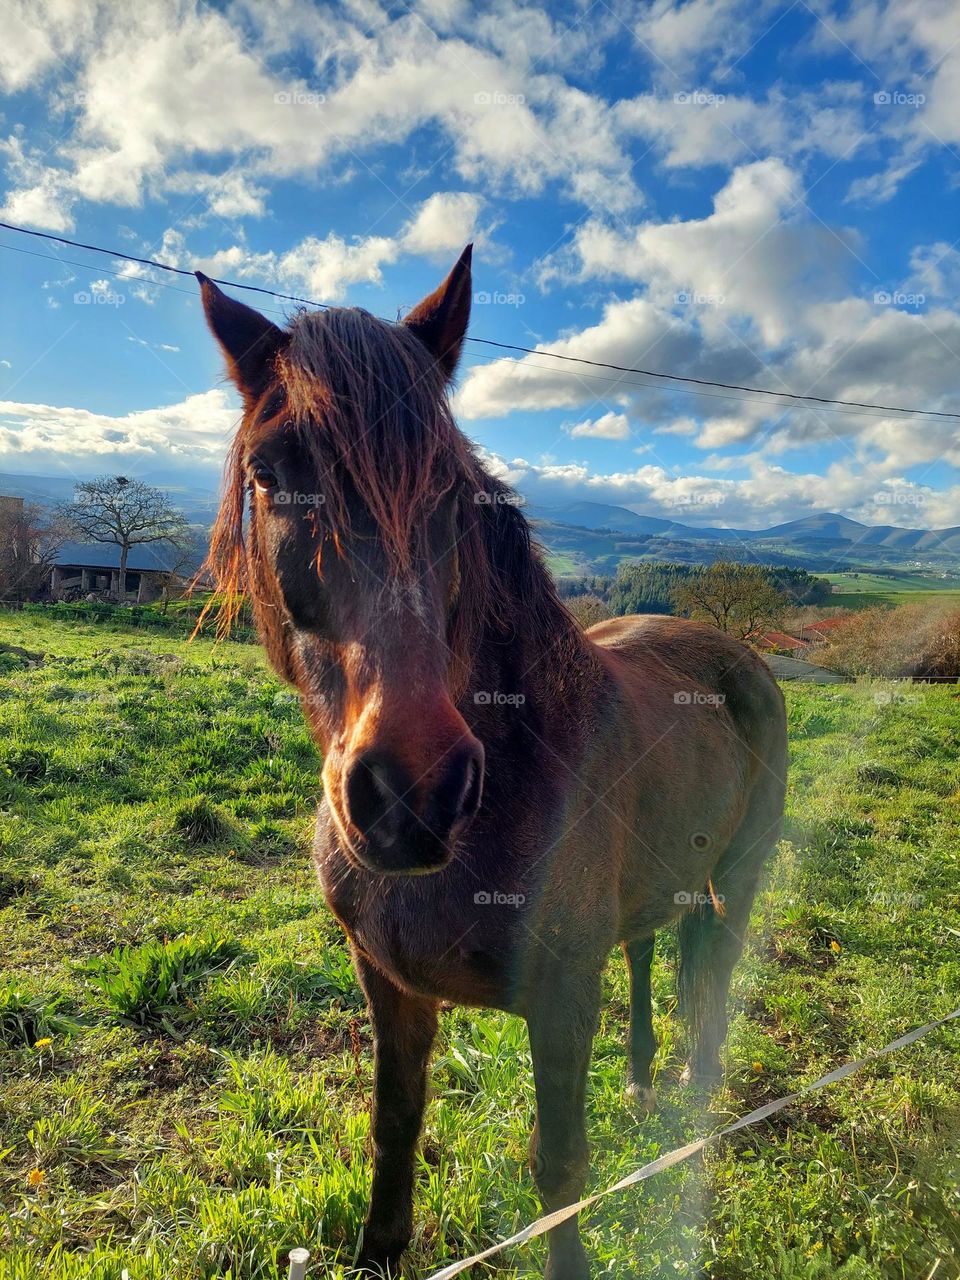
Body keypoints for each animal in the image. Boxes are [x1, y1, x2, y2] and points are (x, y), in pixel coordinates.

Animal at [197, 246, 788, 1280]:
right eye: (270, 474)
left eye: (451, 488)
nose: (413, 792)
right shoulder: (387, 983)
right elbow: (394, 1129)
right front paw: (379, 1251)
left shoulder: (560, 1002)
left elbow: (560, 1171)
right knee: (649, 951)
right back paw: (643, 1079)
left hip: (737, 880)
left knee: (713, 980)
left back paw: (690, 1091)